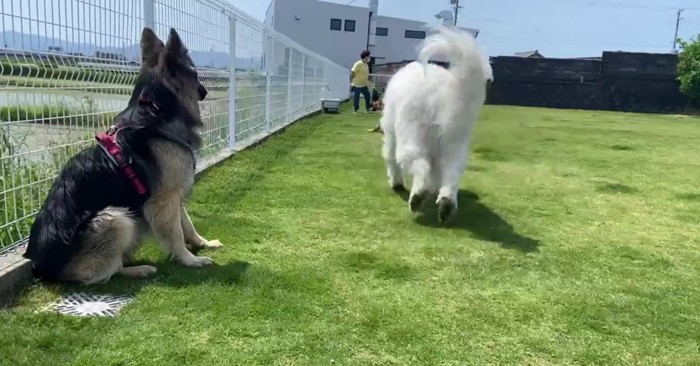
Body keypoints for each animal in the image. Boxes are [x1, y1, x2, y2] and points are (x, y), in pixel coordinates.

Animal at [23, 27, 224, 286]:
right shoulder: (163, 199)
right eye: (196, 74)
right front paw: (190, 260)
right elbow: (176, 233)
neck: (154, 112)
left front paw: (202, 243)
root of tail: (39, 266)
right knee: (106, 272)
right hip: (115, 217)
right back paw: (138, 270)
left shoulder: (172, 195)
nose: (205, 91)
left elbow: (187, 223)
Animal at [378, 26, 492, 223]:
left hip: (412, 138)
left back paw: (418, 197)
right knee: (450, 172)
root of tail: (444, 95)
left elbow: (390, 159)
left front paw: (396, 182)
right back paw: (446, 203)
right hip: (454, 143)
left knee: (420, 165)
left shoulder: (392, 135)